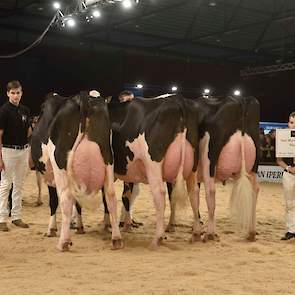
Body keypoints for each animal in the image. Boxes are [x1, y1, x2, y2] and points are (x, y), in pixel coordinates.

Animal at [30, 91, 122, 251]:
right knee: (110, 195)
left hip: (59, 161)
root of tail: (84, 97)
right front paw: (79, 226)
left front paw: (51, 229)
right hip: (108, 158)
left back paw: (64, 242)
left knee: (66, 198)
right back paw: (116, 238)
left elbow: (53, 201)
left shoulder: (52, 175)